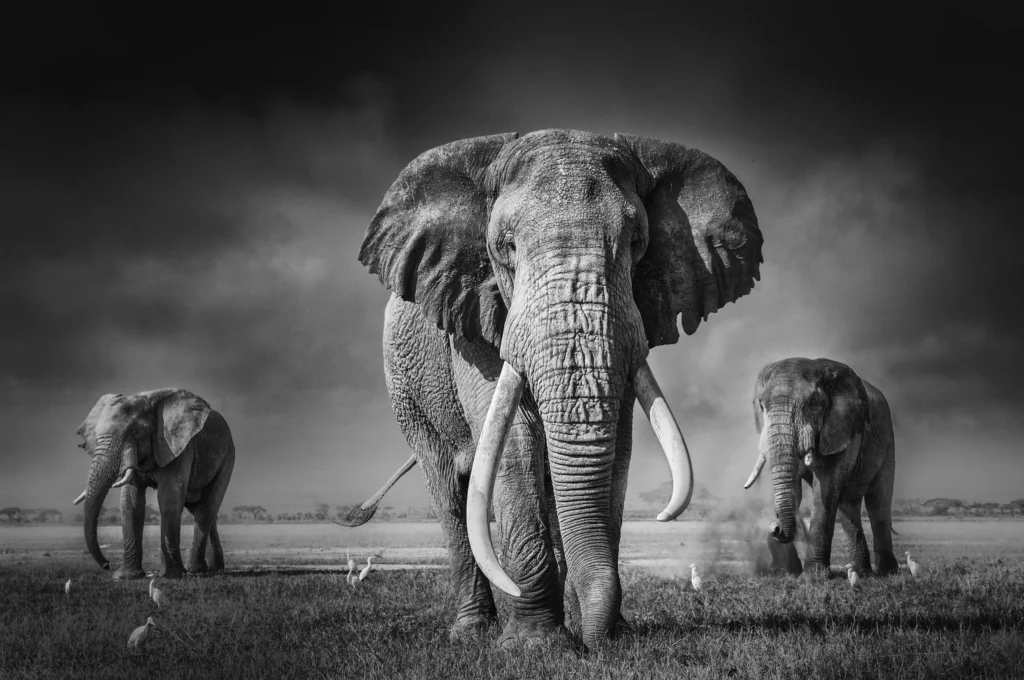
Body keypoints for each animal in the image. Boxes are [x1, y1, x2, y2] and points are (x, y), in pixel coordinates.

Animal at [72, 389, 235, 580]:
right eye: (96, 436)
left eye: (134, 431)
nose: (106, 565)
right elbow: (130, 503)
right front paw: (126, 576)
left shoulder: (178, 446)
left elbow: (168, 500)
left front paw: (171, 576)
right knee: (200, 510)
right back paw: (213, 569)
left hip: (228, 457)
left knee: (207, 508)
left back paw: (195, 569)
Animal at [344, 129, 764, 649]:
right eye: (505, 247)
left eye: (637, 243)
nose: (598, 642)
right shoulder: (474, 317)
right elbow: (515, 440)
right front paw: (533, 647)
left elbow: (618, 445)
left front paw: (605, 634)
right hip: (406, 390)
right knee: (448, 491)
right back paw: (471, 633)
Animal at [743, 357, 898, 578]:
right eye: (762, 405)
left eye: (813, 404)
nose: (775, 527)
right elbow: (796, 489)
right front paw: (785, 573)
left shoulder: (841, 429)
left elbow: (824, 488)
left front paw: (813, 577)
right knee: (847, 508)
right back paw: (862, 573)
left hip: (888, 443)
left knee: (878, 504)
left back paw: (887, 573)